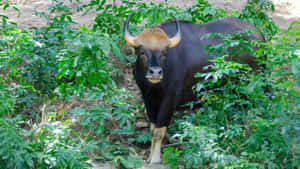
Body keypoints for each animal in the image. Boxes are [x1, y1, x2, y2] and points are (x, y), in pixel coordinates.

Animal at [123, 13, 264, 164]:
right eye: (142, 51)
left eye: (164, 53)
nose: (155, 72)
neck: (154, 88)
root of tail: (259, 34)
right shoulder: (149, 100)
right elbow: (152, 129)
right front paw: (150, 158)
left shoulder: (169, 100)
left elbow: (158, 132)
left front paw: (155, 160)